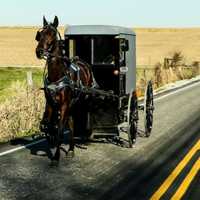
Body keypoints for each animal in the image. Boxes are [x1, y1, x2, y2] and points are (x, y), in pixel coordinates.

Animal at [35, 16, 94, 164]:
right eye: (40, 34)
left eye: (52, 33)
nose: (39, 51)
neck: (57, 75)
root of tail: (83, 63)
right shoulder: (50, 103)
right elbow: (47, 125)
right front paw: (50, 137)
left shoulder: (64, 104)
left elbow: (61, 130)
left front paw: (56, 157)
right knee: (71, 123)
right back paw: (71, 149)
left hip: (81, 100)